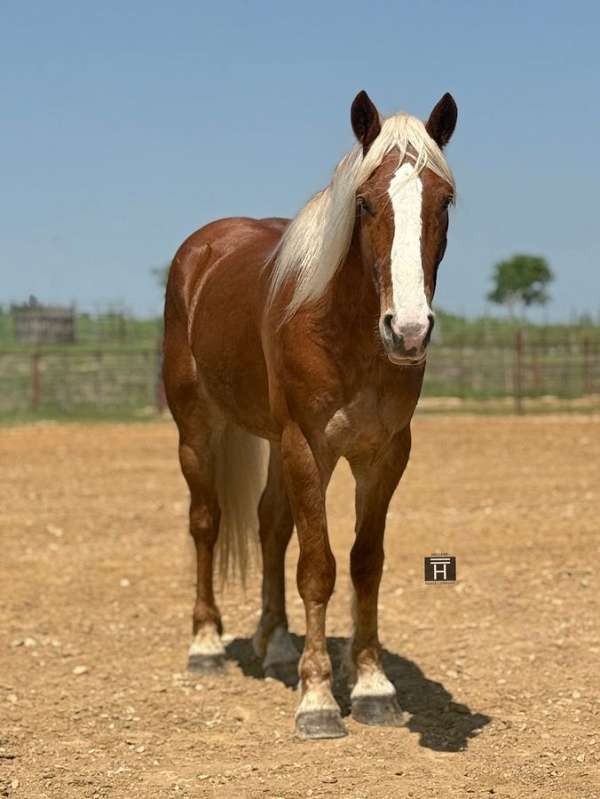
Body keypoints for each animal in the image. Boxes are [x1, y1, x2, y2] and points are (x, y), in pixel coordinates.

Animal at [163, 90, 457, 739]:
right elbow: (318, 566)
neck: (342, 329)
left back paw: (273, 645)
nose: (408, 331)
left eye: (444, 201)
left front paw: (373, 688)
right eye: (365, 202)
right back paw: (207, 645)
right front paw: (319, 699)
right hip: (197, 430)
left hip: (275, 443)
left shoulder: (383, 454)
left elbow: (365, 563)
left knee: (270, 525)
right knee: (205, 522)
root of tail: (202, 249)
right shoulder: (308, 446)